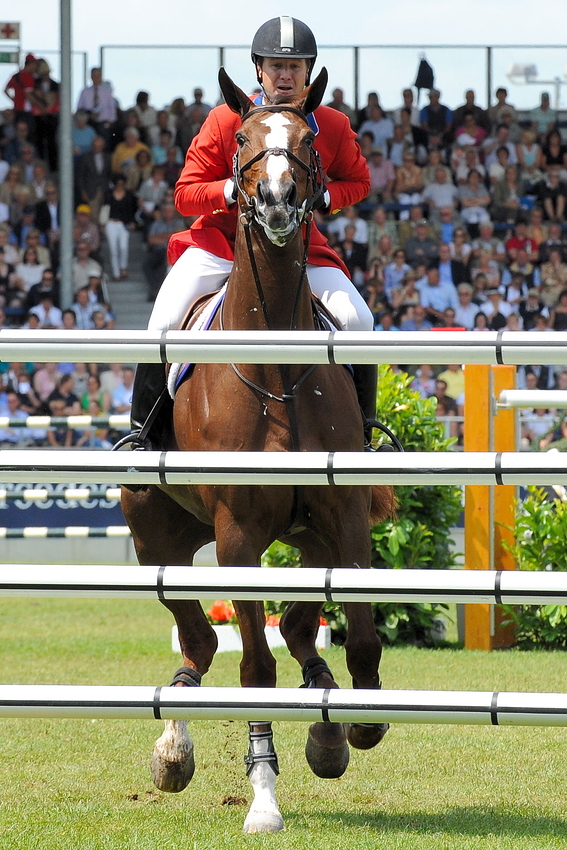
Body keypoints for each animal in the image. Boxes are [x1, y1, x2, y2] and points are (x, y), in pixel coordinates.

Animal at [120, 68, 394, 836]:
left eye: (307, 141)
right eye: (241, 139)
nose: (274, 200)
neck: (278, 370)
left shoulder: (345, 519)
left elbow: (359, 639)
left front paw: (357, 725)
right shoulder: (238, 535)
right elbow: (253, 671)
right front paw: (264, 798)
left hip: (305, 539)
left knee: (298, 630)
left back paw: (326, 724)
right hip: (157, 538)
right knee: (199, 640)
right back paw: (174, 747)